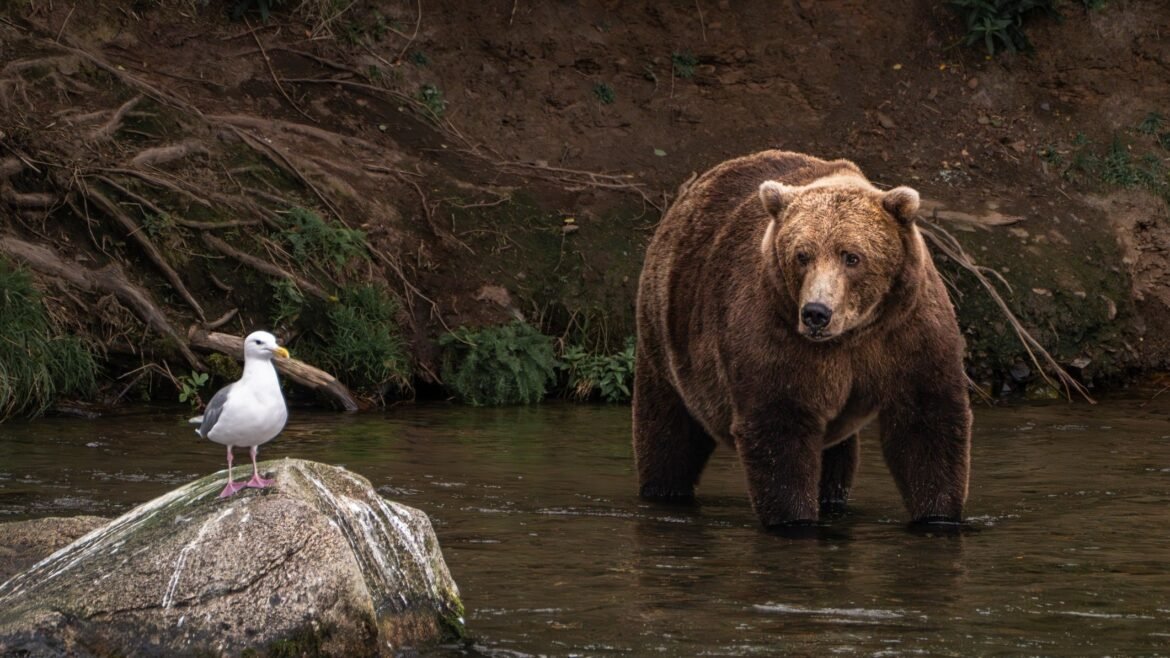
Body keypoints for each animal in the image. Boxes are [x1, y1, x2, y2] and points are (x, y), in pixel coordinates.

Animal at [633, 150, 971, 528]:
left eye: (852, 256)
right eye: (802, 255)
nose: (816, 313)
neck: (854, 333)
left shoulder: (907, 331)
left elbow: (926, 424)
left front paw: (938, 514)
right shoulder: (774, 331)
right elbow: (780, 425)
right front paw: (794, 519)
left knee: (837, 457)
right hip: (664, 336)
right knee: (668, 432)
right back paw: (664, 489)